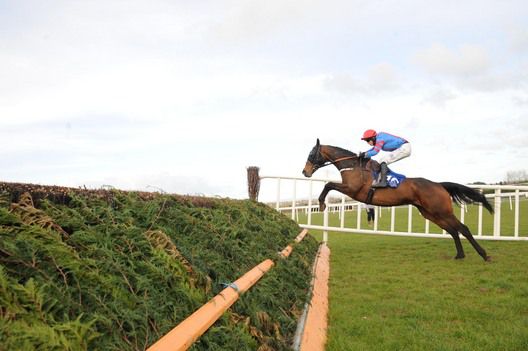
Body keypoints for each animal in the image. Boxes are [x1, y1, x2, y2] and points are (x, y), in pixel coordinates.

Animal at [304, 140, 492, 262]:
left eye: (312, 153)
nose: (304, 172)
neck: (353, 166)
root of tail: (439, 185)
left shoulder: (353, 189)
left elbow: (328, 184)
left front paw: (321, 203)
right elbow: (329, 185)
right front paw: (321, 203)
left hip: (441, 211)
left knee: (463, 228)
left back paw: (484, 255)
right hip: (430, 213)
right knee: (453, 231)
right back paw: (460, 255)